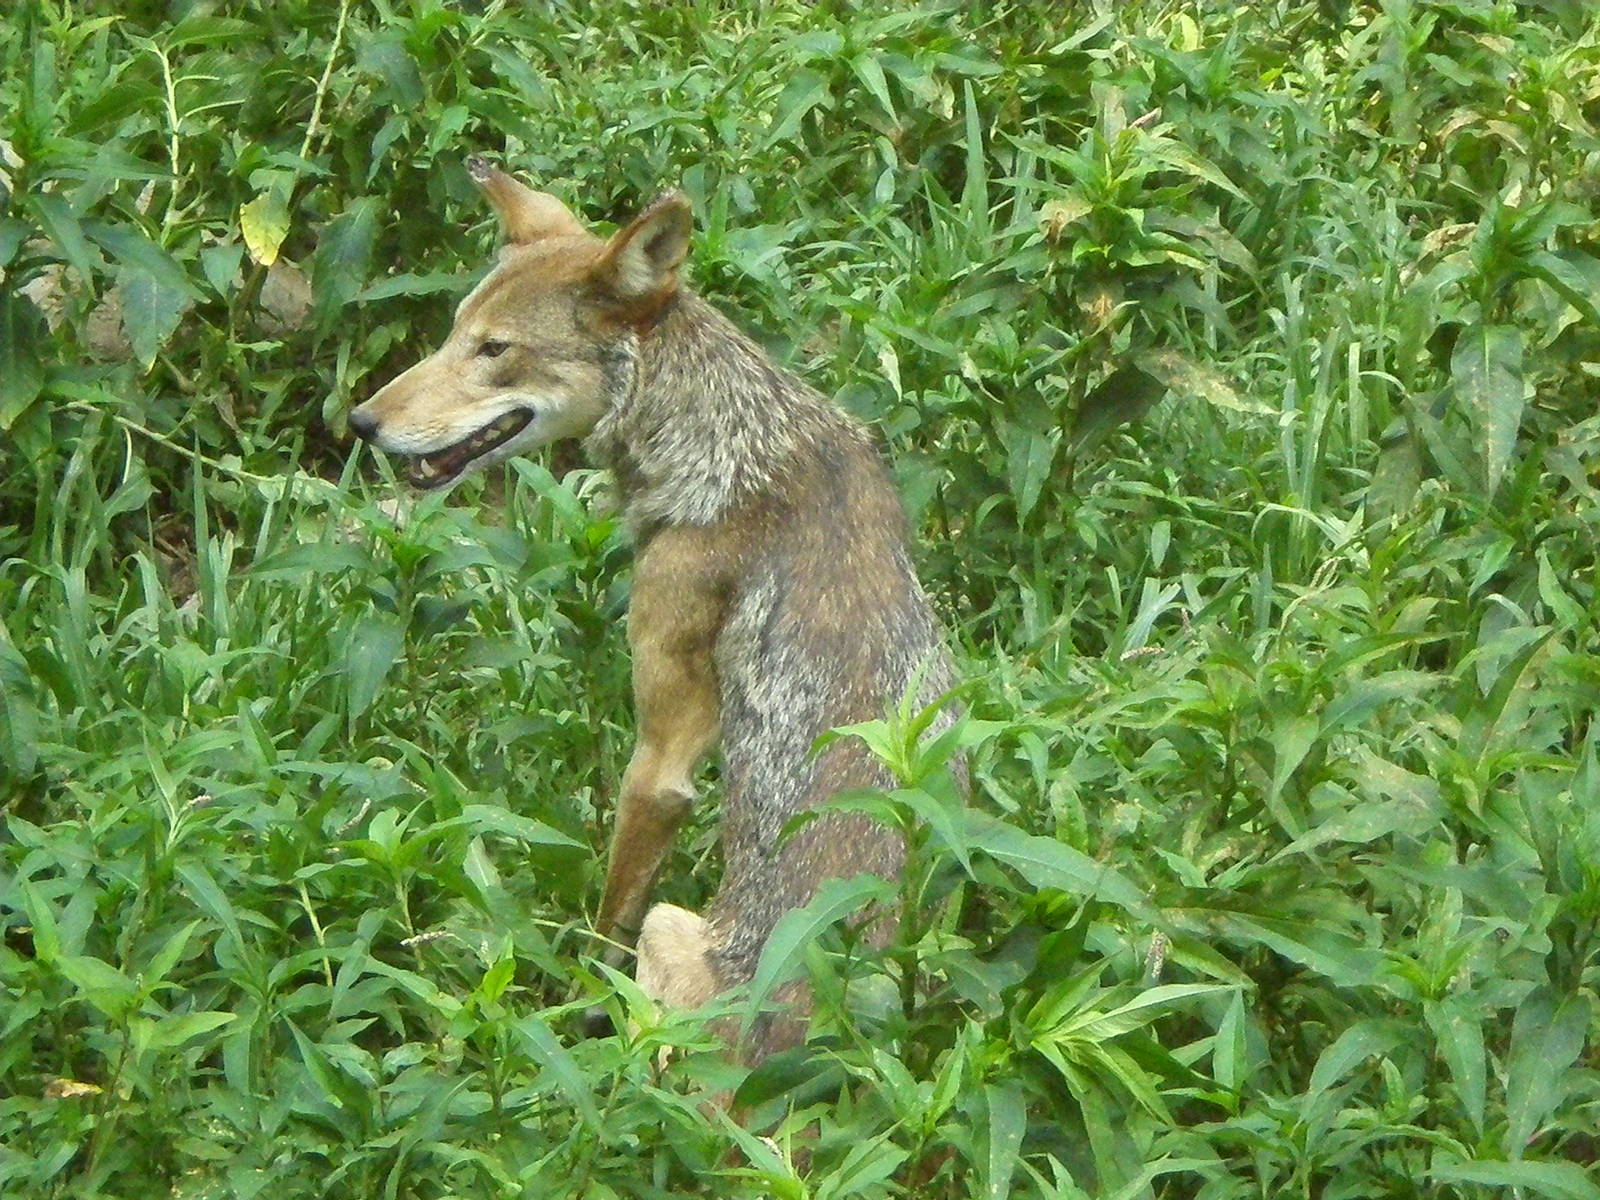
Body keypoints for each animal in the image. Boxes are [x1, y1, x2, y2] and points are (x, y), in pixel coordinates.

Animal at [348, 158, 959, 1061]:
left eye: (495, 350)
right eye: (453, 333)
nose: (362, 422)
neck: (730, 445)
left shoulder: (661, 757)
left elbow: (603, 920)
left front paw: (565, 1014)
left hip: (670, 924)